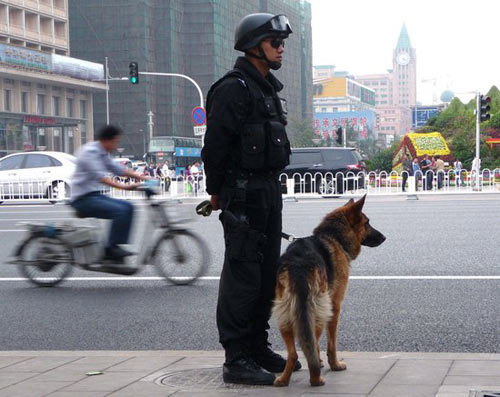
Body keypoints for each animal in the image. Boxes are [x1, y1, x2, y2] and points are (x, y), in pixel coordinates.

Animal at [272, 196, 384, 386]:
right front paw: (334, 364)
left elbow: (313, 346)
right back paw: (316, 379)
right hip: (318, 312)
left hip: (284, 314)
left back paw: (283, 380)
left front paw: (320, 361)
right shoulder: (335, 306)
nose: (384, 237)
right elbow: (331, 343)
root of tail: (299, 265)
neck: (334, 237)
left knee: (293, 353)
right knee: (311, 342)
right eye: (367, 222)